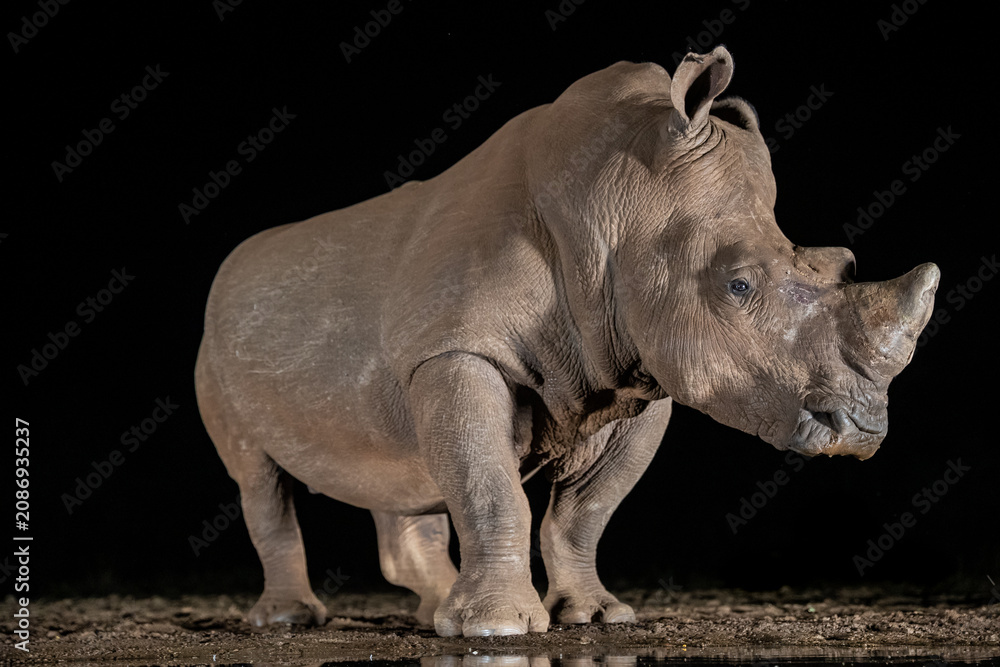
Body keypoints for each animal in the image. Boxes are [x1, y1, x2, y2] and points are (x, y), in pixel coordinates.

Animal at [194, 46, 939, 637]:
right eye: (738, 285)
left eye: (843, 265)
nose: (860, 429)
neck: (617, 207)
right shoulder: (459, 348)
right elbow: (491, 484)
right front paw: (495, 628)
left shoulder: (640, 372)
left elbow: (583, 512)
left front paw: (596, 615)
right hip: (213, 349)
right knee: (257, 477)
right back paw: (289, 620)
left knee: (404, 460)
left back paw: (434, 609)